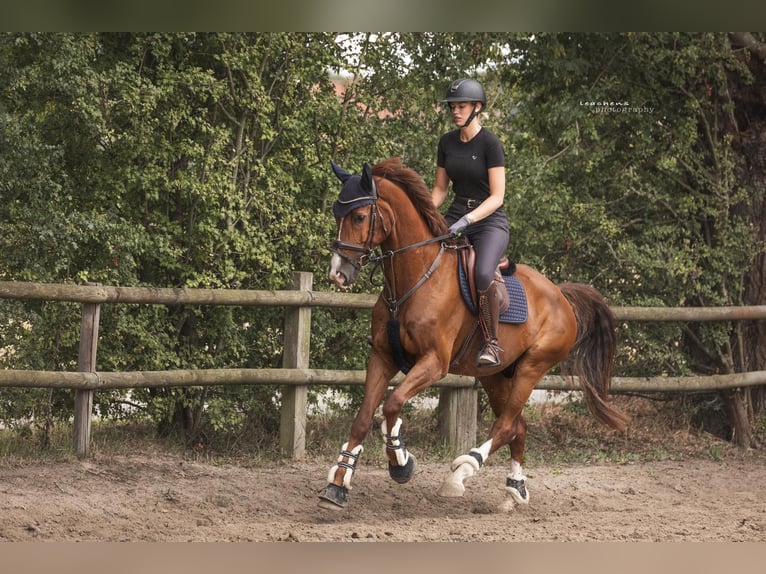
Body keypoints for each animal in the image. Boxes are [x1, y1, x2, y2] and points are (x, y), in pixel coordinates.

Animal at [319, 157, 629, 512]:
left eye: (358, 216)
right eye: (336, 214)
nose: (338, 273)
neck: (415, 280)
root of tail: (560, 294)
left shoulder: (434, 363)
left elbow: (393, 404)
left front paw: (401, 462)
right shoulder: (382, 357)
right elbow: (364, 416)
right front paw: (338, 483)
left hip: (532, 367)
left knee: (506, 425)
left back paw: (462, 471)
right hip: (496, 376)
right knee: (518, 426)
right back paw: (513, 490)